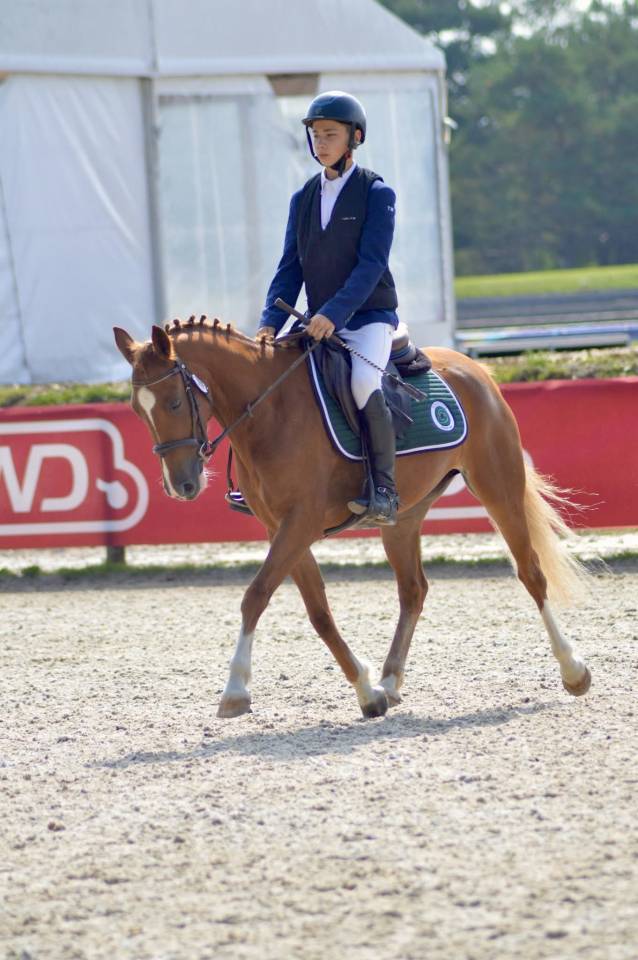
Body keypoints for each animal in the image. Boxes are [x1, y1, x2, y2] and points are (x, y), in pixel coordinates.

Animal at [113, 316, 592, 720]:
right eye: (137, 410)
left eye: (175, 403)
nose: (182, 486)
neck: (269, 412)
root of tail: (474, 368)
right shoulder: (282, 528)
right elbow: (319, 613)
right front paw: (367, 692)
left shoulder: (300, 523)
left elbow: (255, 596)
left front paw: (234, 690)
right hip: (403, 516)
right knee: (413, 589)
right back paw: (390, 681)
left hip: (498, 488)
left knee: (531, 573)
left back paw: (573, 670)